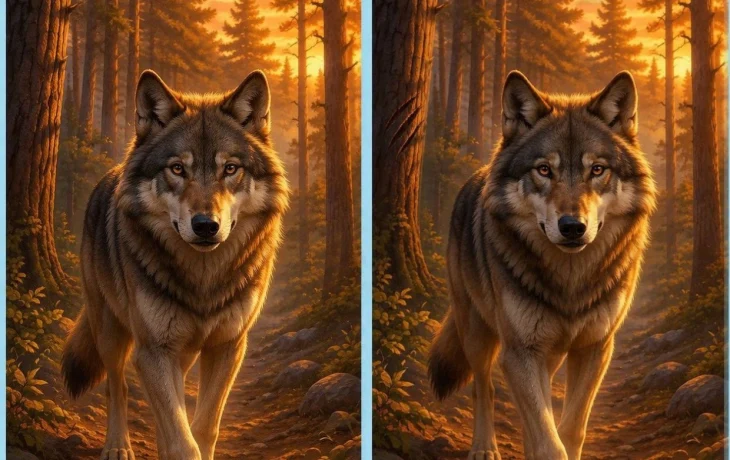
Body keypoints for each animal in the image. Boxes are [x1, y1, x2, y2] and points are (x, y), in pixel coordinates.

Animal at [61, 69, 289, 460]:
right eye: (178, 169)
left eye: (230, 168)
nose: (205, 225)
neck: (203, 280)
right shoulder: (153, 351)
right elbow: (182, 440)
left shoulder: (228, 346)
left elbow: (204, 427)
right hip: (110, 330)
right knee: (117, 387)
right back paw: (117, 445)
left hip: (181, 353)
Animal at [428, 71, 657, 460]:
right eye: (544, 170)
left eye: (597, 169)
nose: (572, 226)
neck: (570, 282)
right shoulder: (520, 352)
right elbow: (549, 441)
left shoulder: (595, 347)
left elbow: (570, 428)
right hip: (476, 331)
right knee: (484, 388)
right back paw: (484, 446)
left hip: (548, 355)